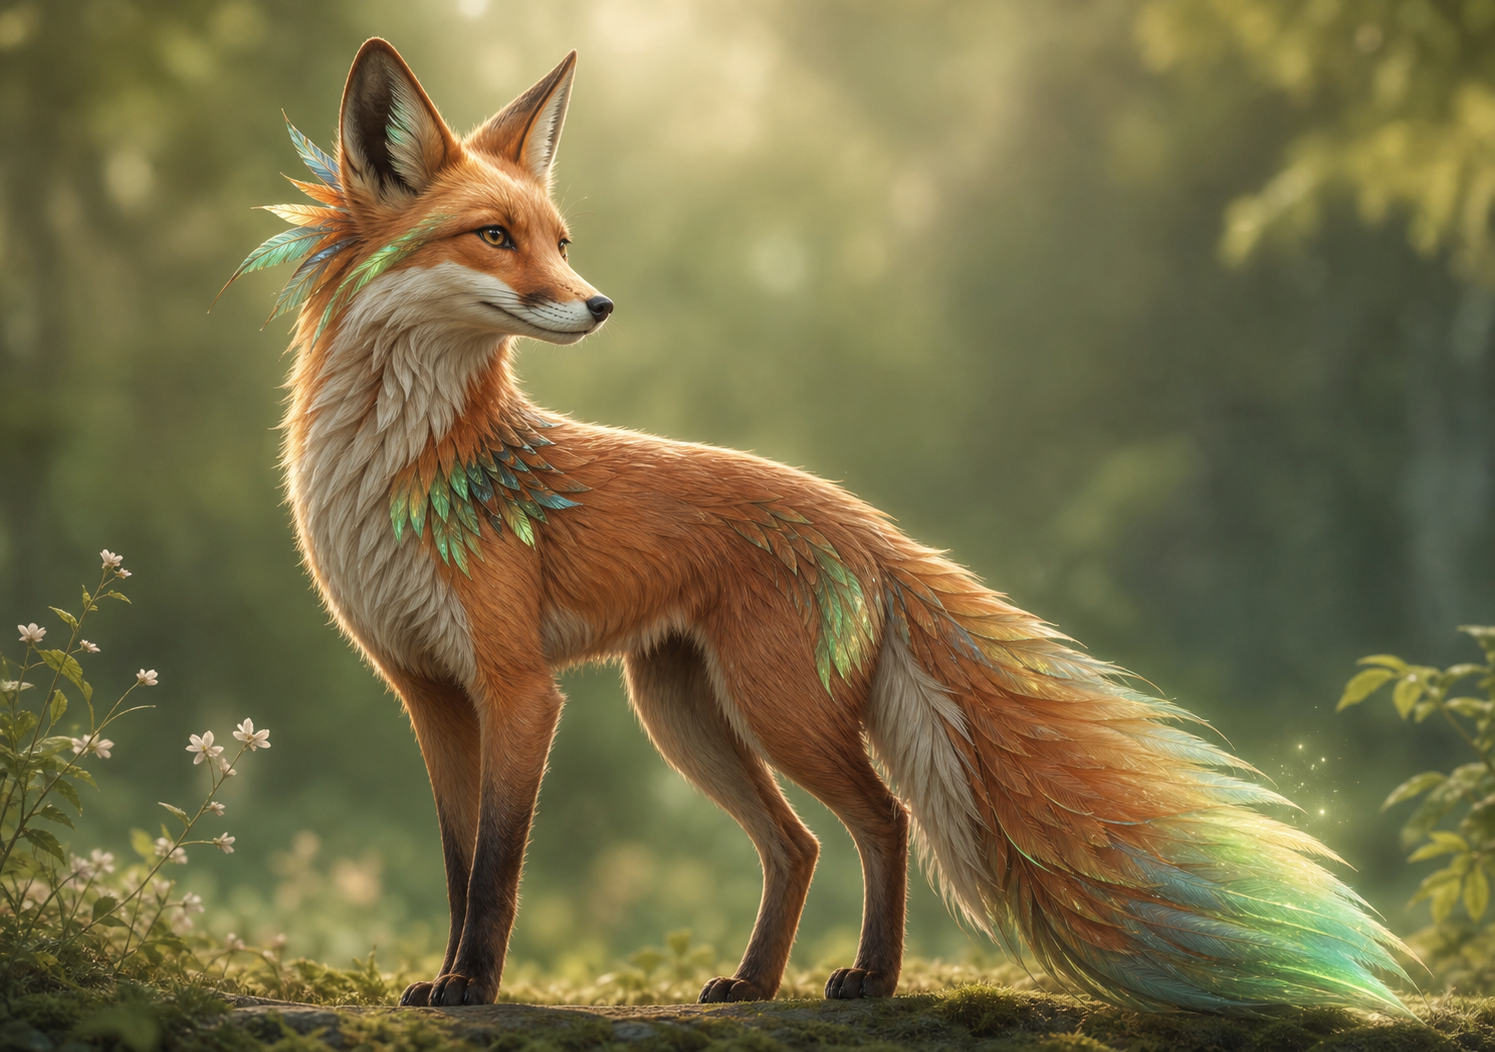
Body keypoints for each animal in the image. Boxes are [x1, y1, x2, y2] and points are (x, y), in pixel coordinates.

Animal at [231, 38, 1413, 1012]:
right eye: (493, 236)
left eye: (560, 240)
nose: (599, 303)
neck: (403, 477)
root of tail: (864, 520)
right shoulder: (430, 692)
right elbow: (456, 862)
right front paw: (446, 979)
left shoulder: (520, 689)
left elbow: (496, 870)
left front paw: (473, 987)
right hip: (687, 713)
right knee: (796, 845)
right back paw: (754, 983)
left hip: (771, 709)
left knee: (882, 819)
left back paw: (870, 979)